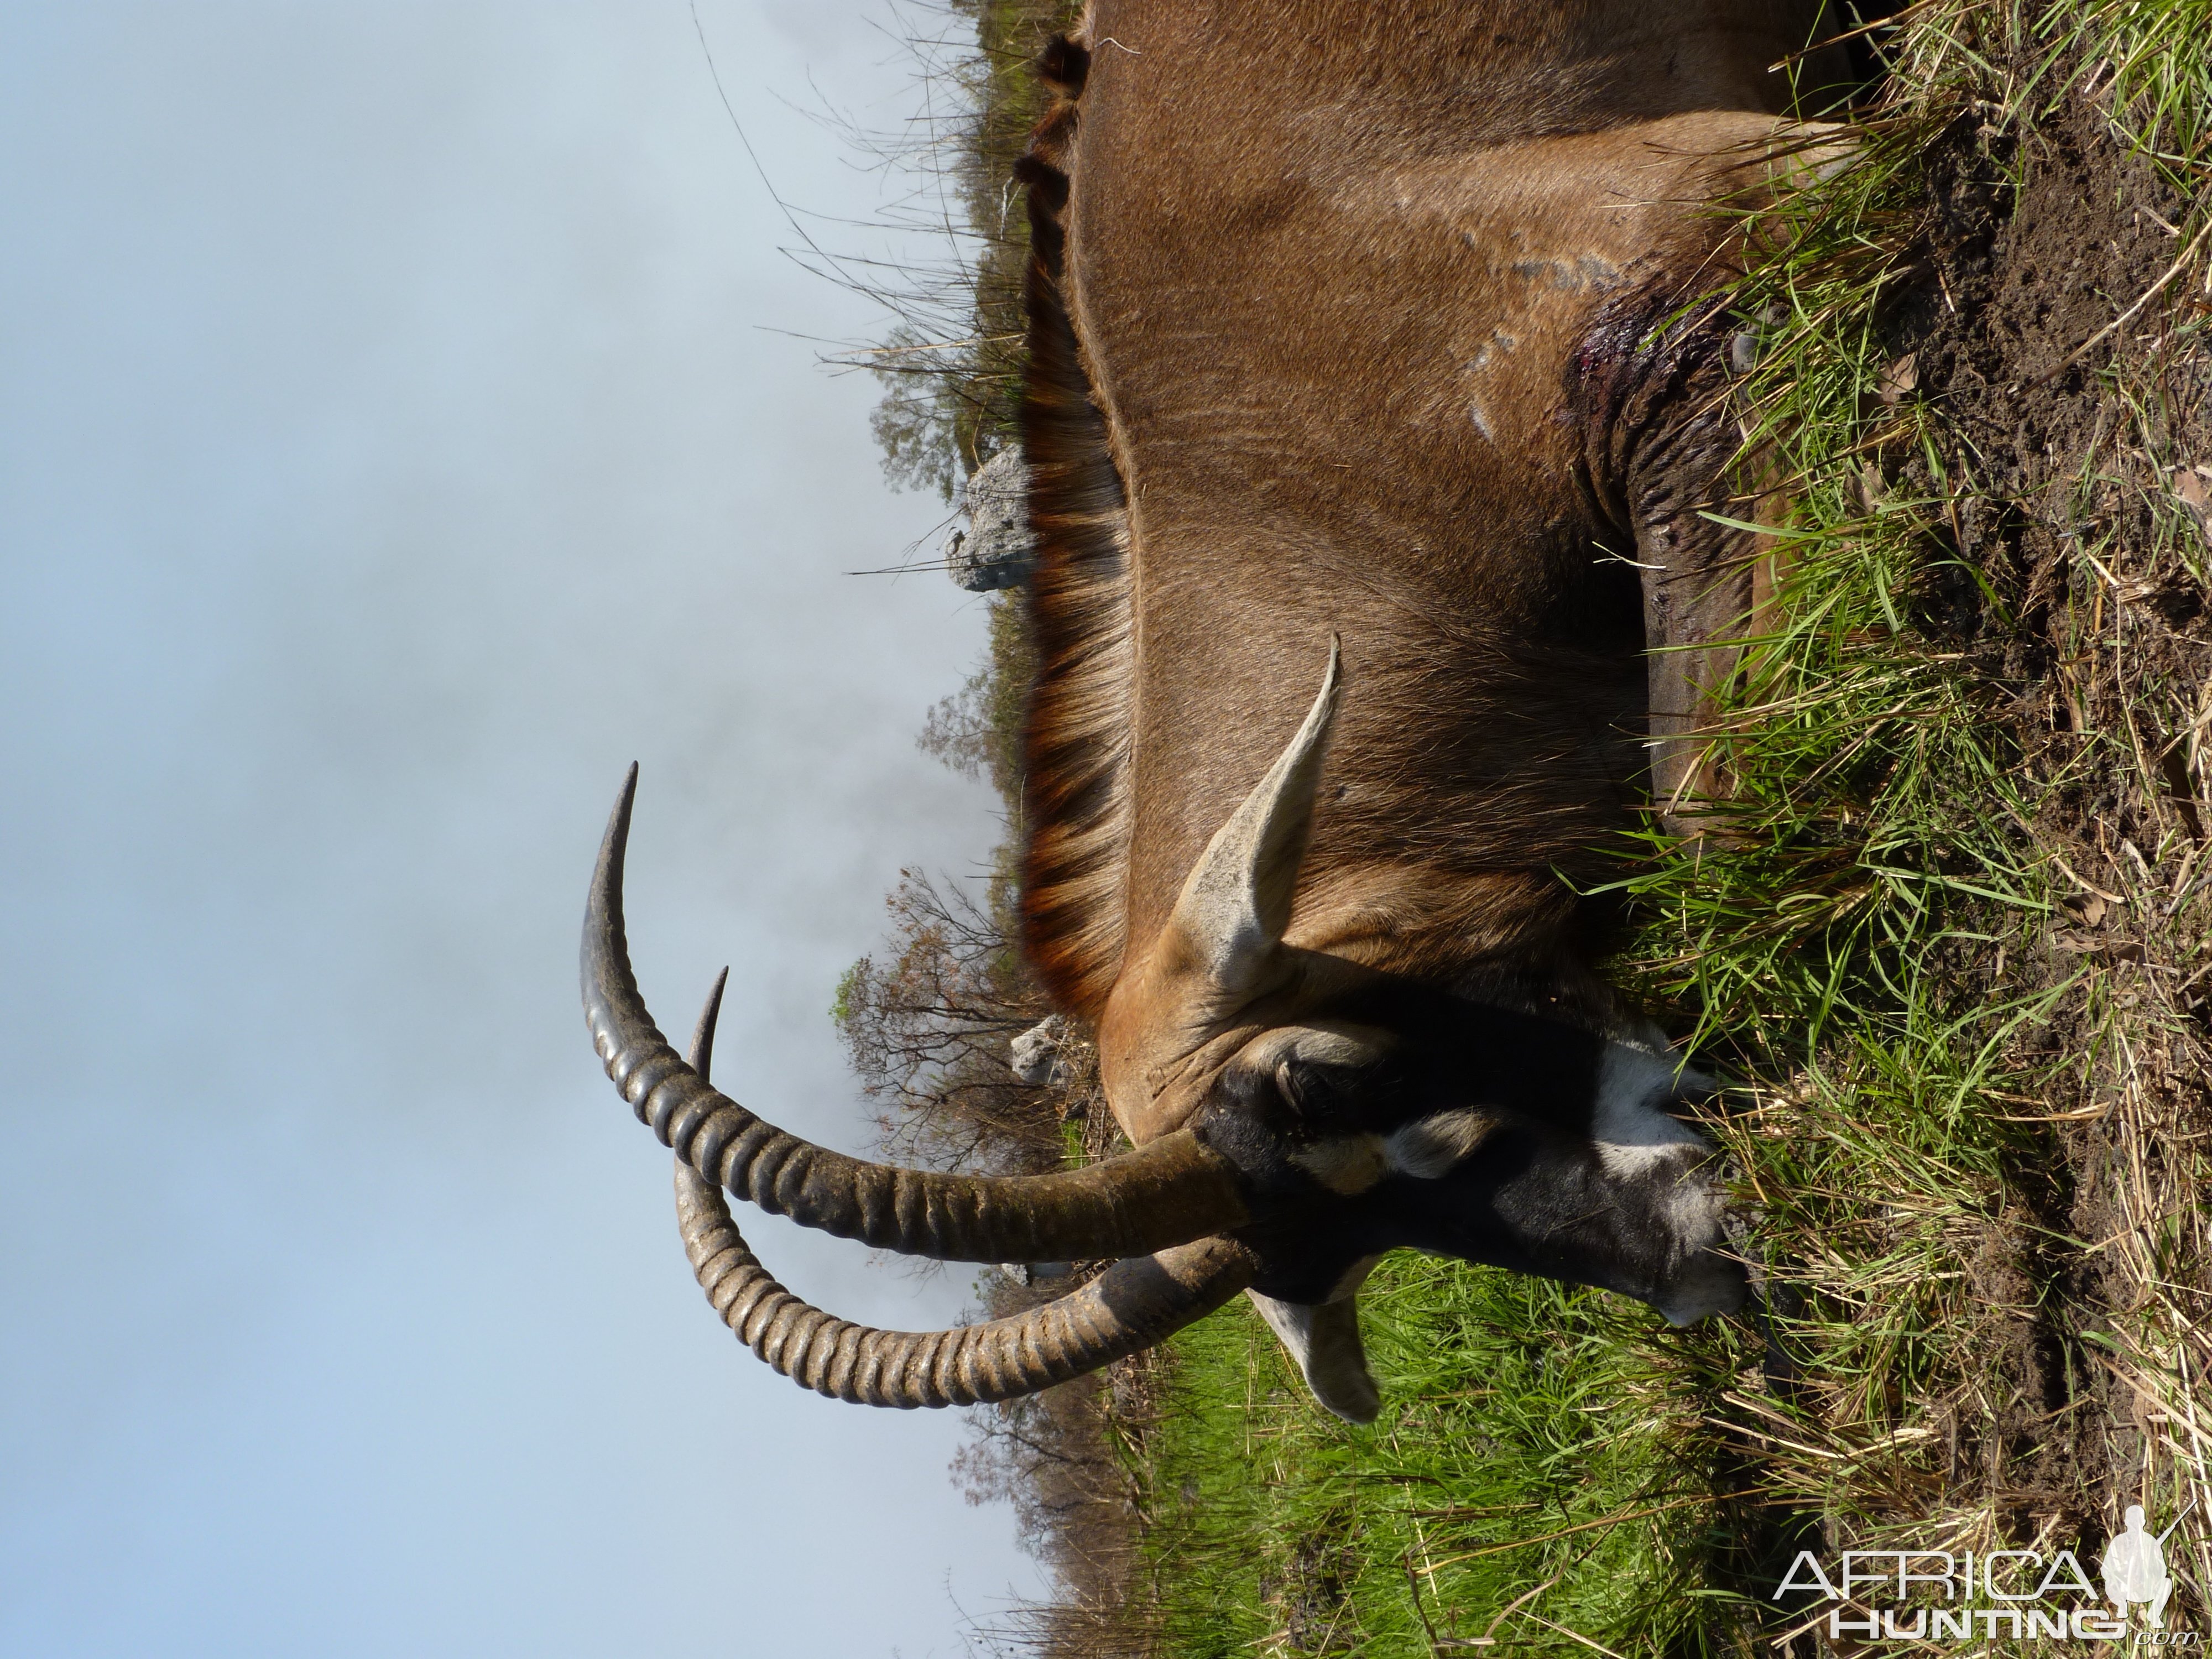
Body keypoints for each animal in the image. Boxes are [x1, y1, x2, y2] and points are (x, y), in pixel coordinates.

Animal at [584, 3, 1849, 1433]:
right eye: (1345, 1253)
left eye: (1316, 1076)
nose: (1702, 1261)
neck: (1298, 509)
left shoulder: (1721, 220)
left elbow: (1715, 811)